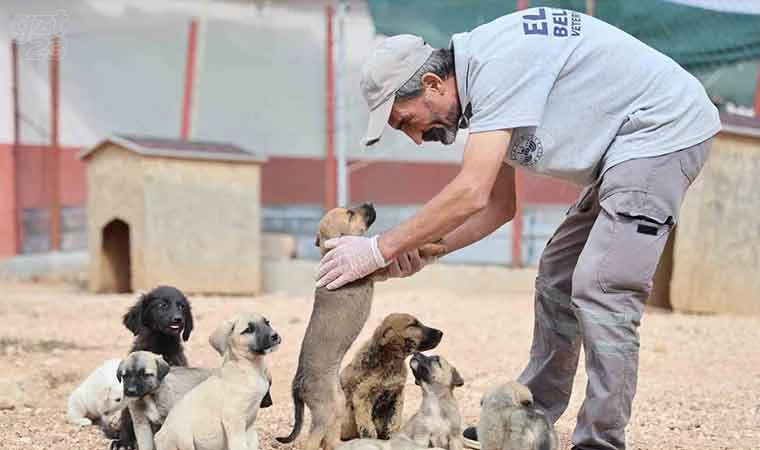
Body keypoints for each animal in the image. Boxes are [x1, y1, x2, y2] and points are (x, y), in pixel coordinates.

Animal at [108, 286, 194, 448]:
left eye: (181, 307)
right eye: (163, 305)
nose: (178, 319)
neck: (161, 344)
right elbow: (128, 416)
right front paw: (124, 441)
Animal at [153, 312, 280, 450]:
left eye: (267, 322)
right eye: (249, 330)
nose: (275, 336)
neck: (249, 367)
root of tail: (157, 438)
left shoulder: (250, 422)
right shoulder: (233, 416)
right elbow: (239, 445)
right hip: (184, 437)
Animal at [340, 312, 442, 440]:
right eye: (413, 325)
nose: (441, 333)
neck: (391, 363)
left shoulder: (398, 394)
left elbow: (395, 419)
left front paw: (392, 434)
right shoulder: (361, 395)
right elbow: (366, 422)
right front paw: (370, 435)